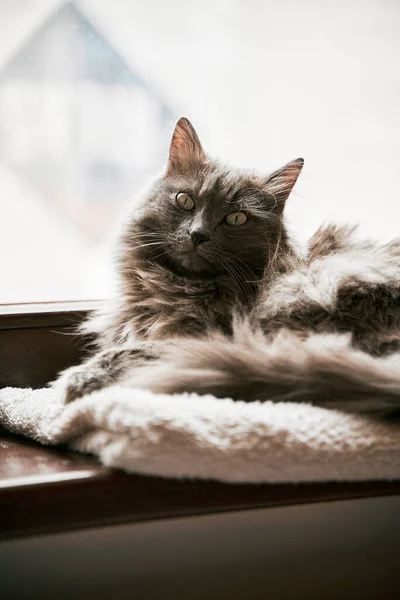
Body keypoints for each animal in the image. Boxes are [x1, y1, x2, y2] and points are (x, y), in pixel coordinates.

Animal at [55, 117, 400, 418]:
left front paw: (76, 380)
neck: (179, 286)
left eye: (236, 218)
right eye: (185, 201)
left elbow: (131, 351)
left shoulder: (207, 337)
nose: (198, 234)